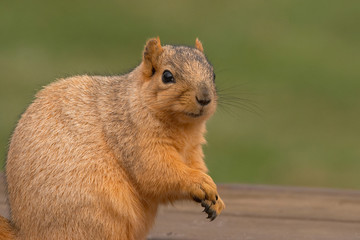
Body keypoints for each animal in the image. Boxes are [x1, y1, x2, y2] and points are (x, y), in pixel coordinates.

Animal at [0, 36, 225, 239]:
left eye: (213, 74)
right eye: (167, 76)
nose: (205, 98)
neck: (184, 129)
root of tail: (26, 233)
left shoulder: (193, 150)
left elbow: (195, 166)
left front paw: (216, 200)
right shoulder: (133, 137)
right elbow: (156, 172)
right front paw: (198, 182)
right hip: (97, 216)